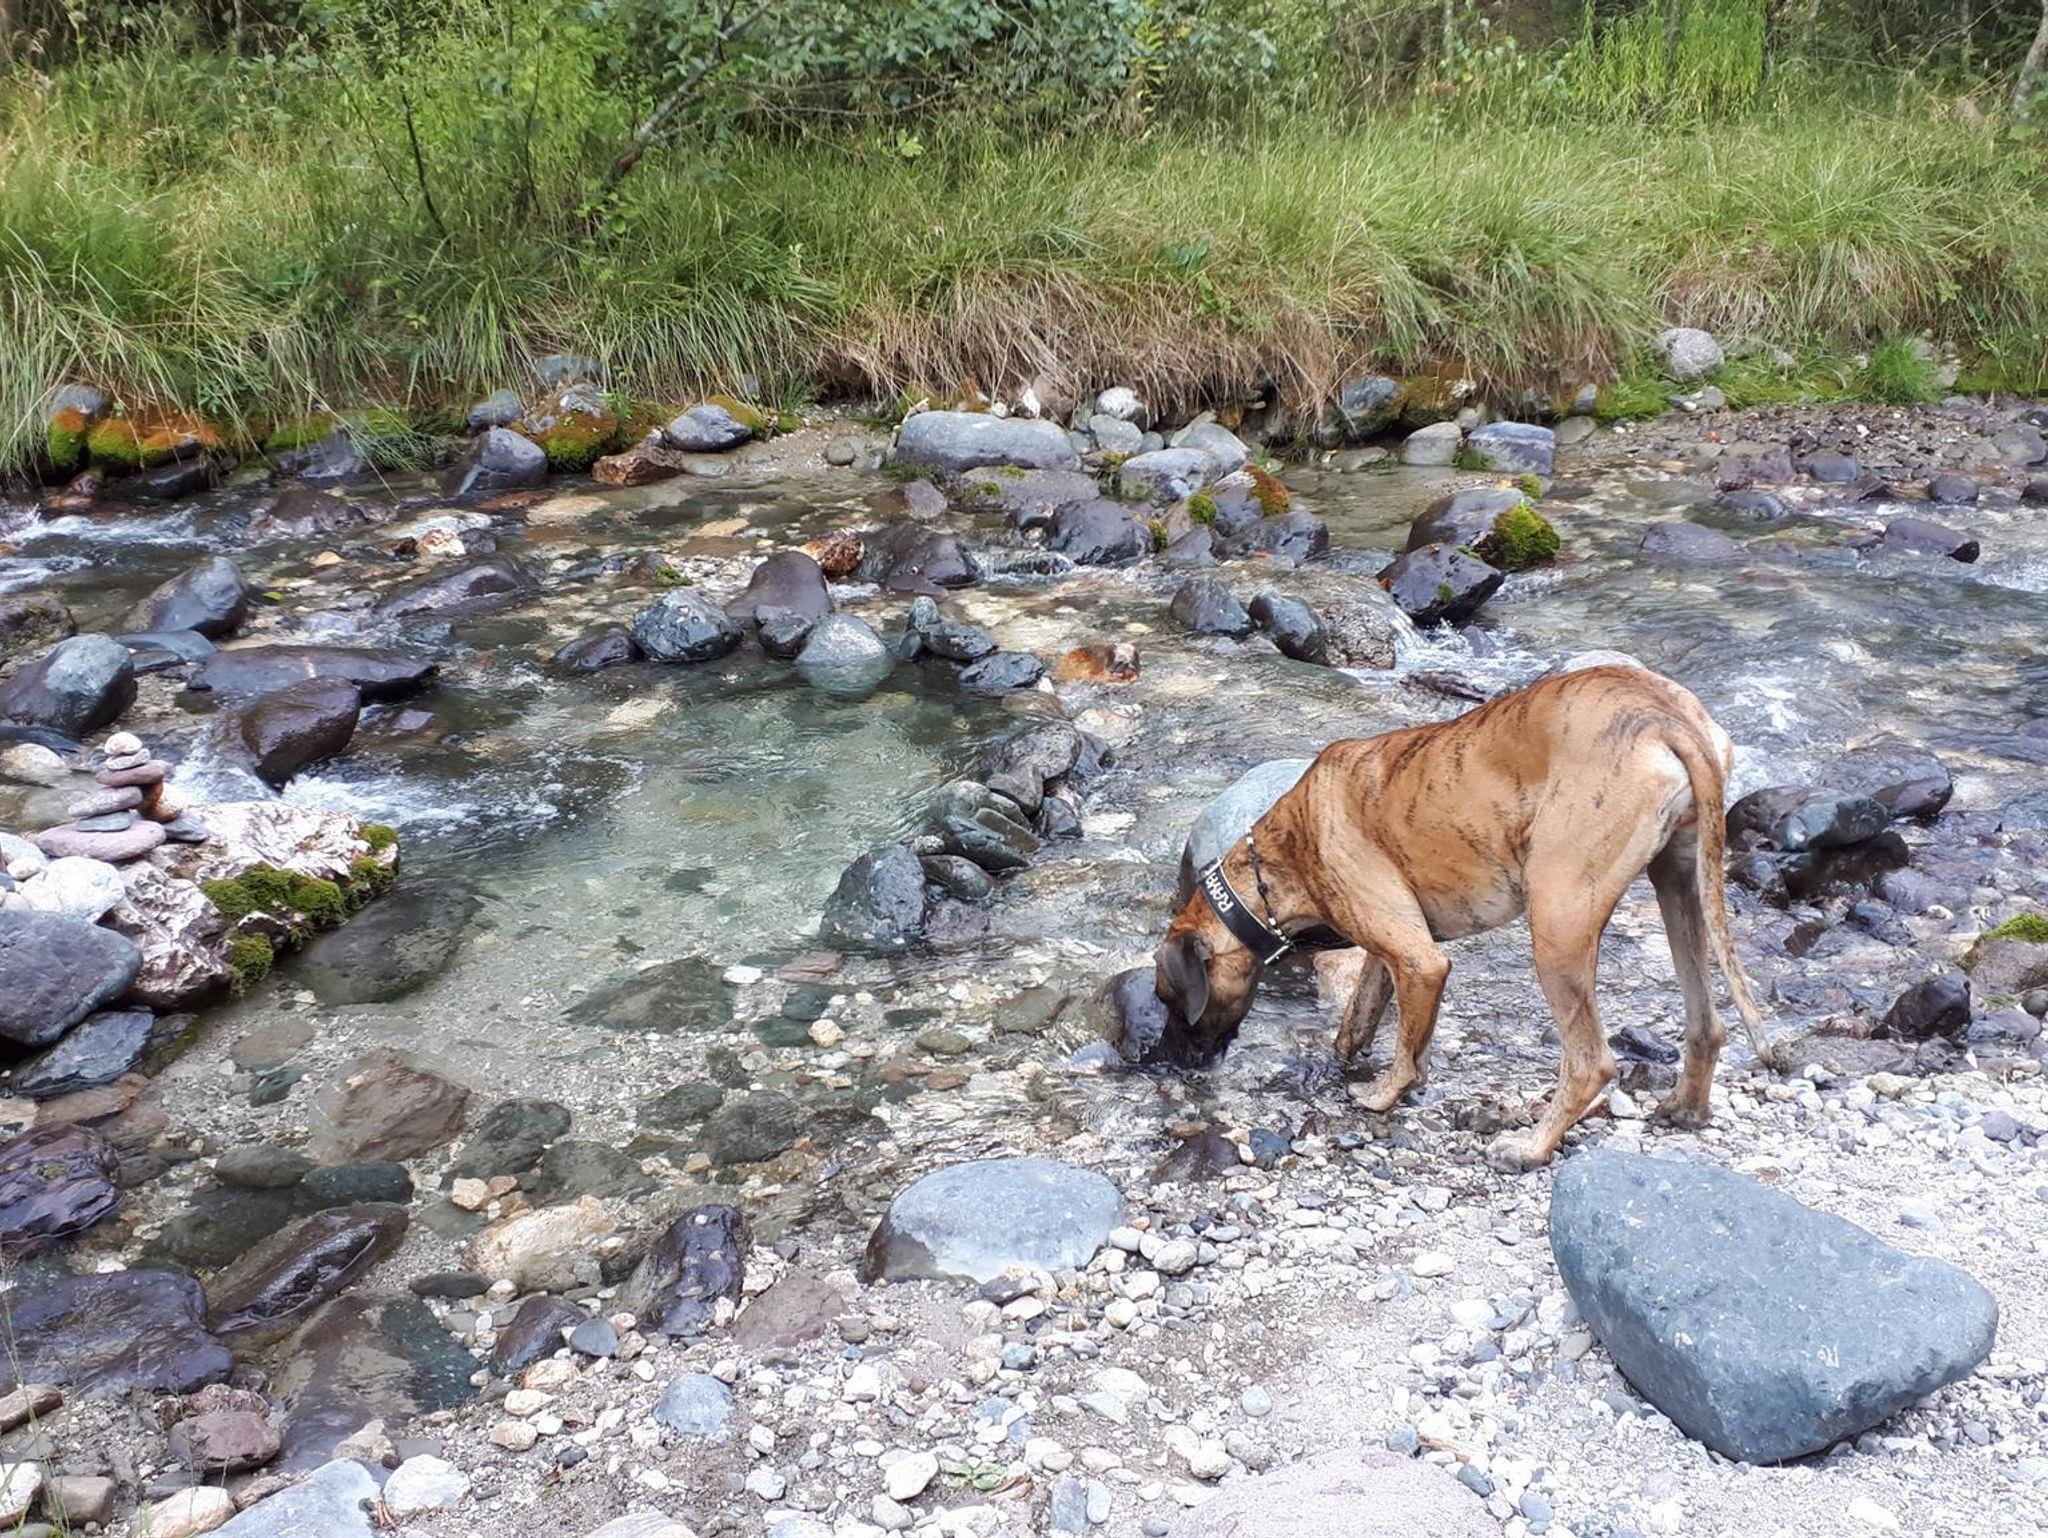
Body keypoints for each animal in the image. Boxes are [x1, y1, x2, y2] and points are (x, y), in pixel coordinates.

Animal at [1152, 664, 1775, 1171]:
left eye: (1167, 998)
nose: (1170, 1063)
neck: (1281, 853)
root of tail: (1664, 714)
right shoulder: (1396, 956)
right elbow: (1371, 1024)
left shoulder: (1420, 960)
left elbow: (1403, 1051)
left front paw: (1381, 1095)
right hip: (1680, 889)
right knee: (1707, 1023)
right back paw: (1685, 1109)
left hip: (1559, 925)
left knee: (1592, 1062)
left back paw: (1531, 1148)